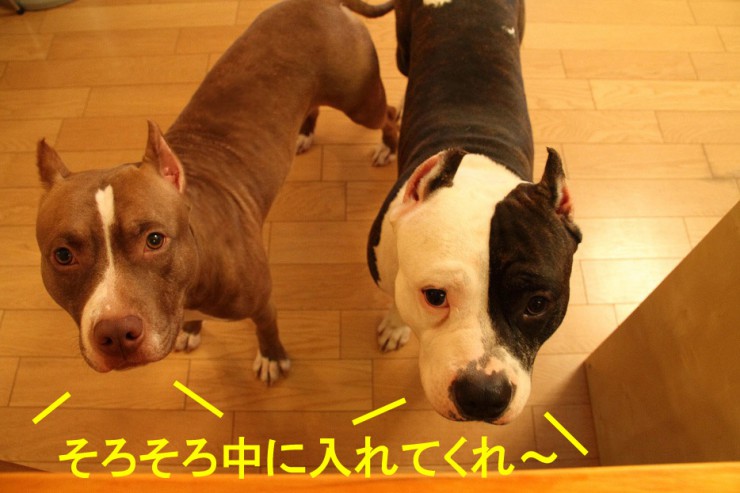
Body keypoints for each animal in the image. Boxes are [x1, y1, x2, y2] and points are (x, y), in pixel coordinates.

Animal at [34, 0, 398, 381]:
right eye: (63, 255)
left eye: (154, 239)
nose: (116, 333)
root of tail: (319, 3)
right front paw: (192, 330)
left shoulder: (262, 301)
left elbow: (266, 328)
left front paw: (271, 357)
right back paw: (305, 132)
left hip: (361, 102)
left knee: (389, 113)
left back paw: (389, 146)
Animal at [366, 0, 582, 424]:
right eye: (434, 296)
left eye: (537, 304)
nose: (484, 394)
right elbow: (393, 299)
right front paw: (396, 325)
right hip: (403, 51)